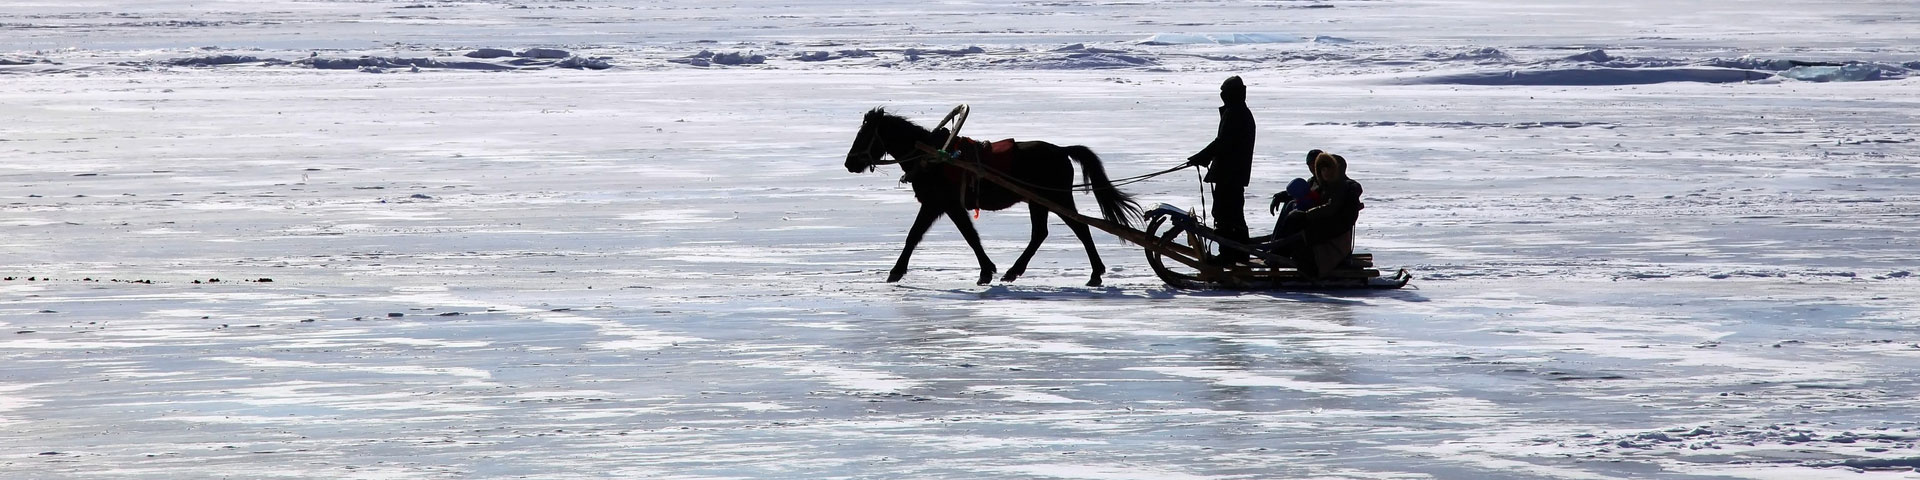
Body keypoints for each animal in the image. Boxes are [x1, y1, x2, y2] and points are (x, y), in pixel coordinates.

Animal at [844, 107, 1136, 286]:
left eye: (864, 134)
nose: (849, 163)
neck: (932, 156)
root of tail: (1062, 150)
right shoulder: (945, 205)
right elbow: (963, 234)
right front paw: (987, 270)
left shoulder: (939, 203)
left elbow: (924, 235)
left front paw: (895, 272)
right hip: (1038, 201)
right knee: (1041, 233)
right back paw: (1014, 271)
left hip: (1057, 198)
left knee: (1080, 228)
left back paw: (1095, 273)